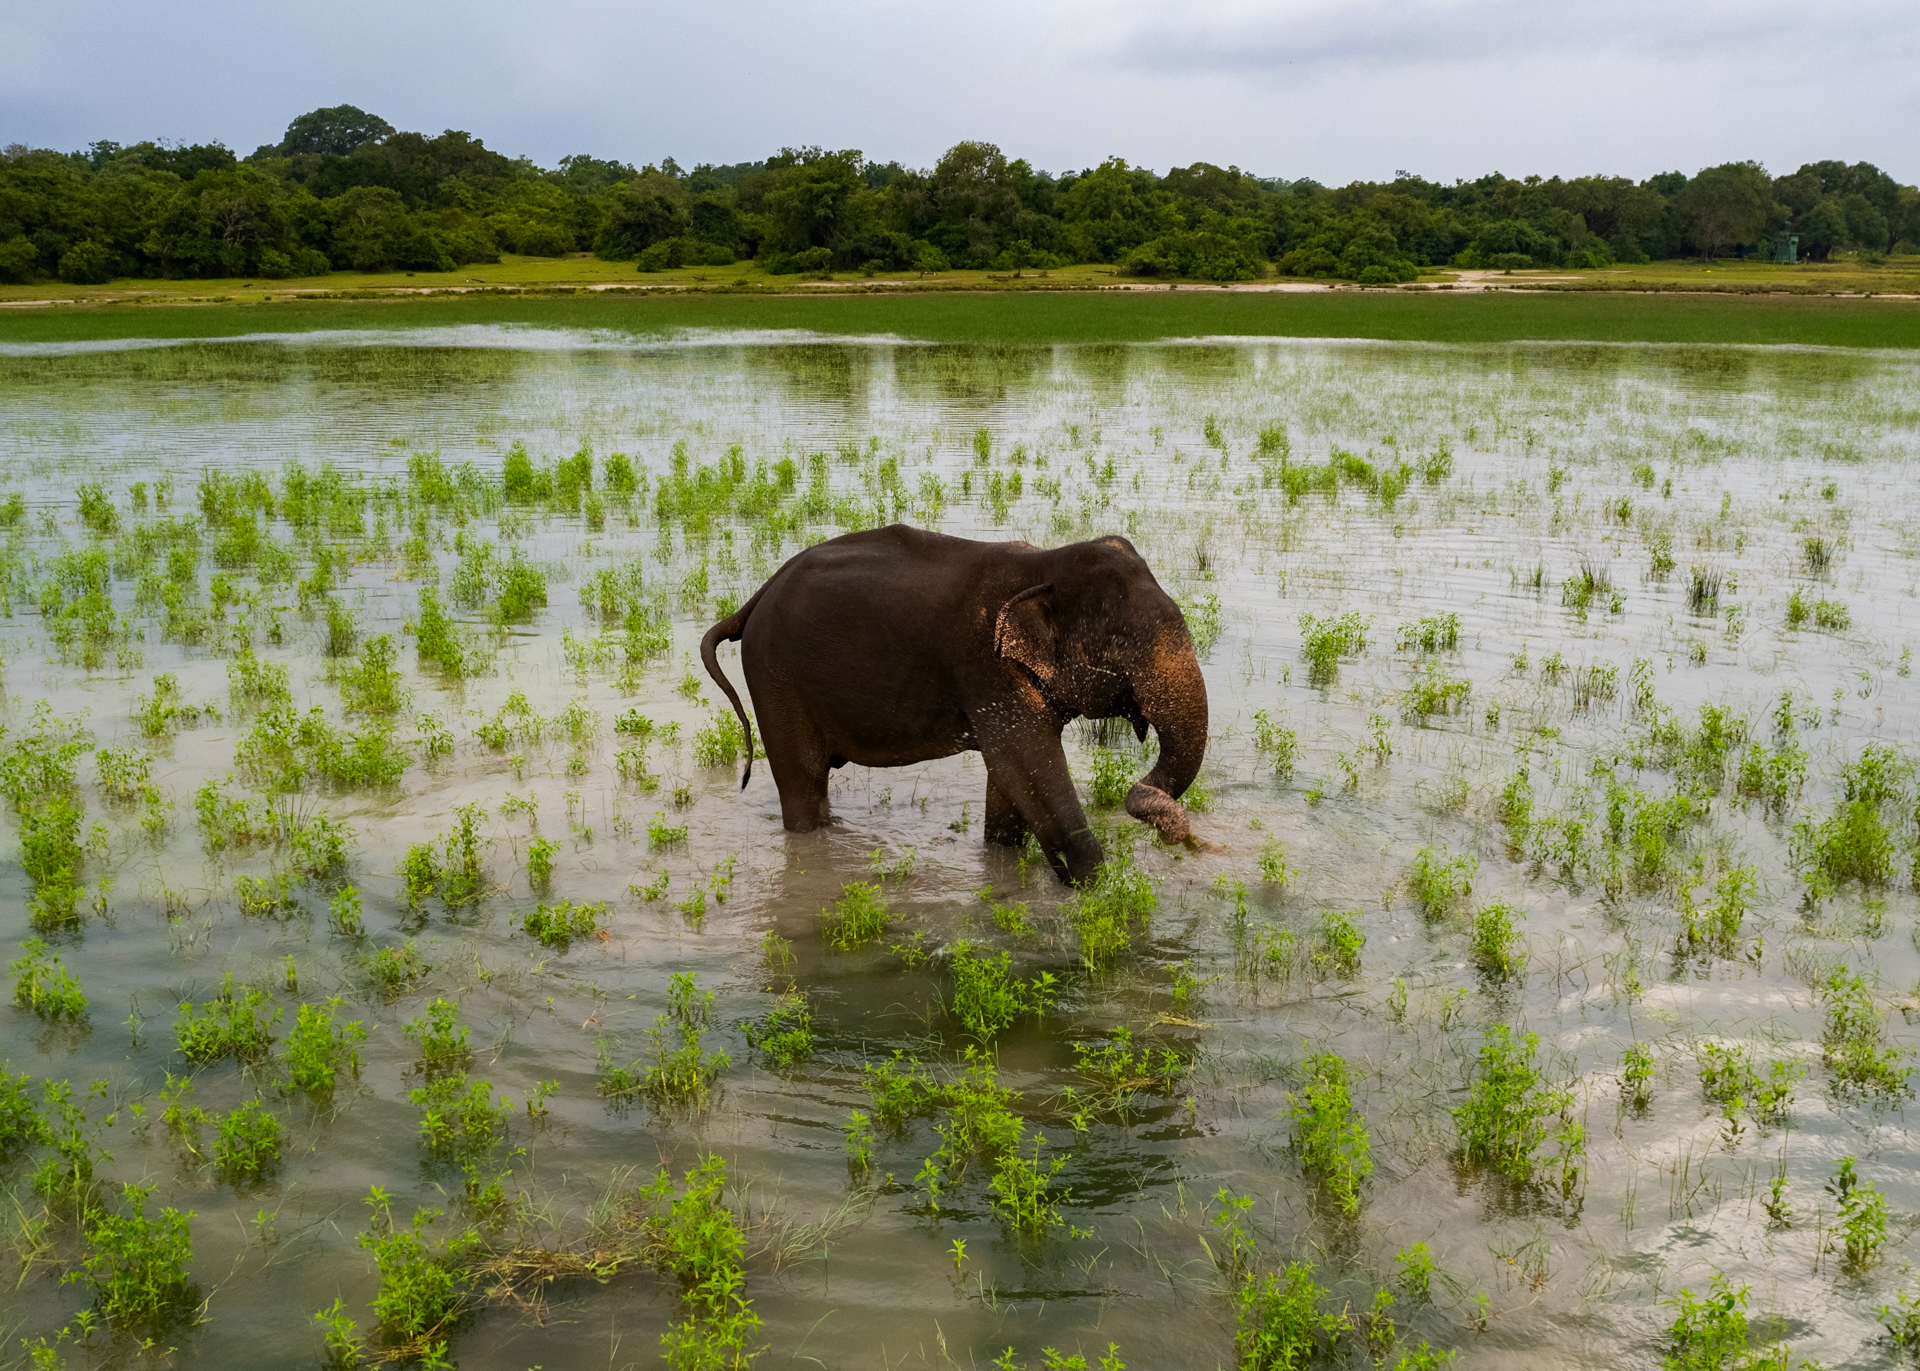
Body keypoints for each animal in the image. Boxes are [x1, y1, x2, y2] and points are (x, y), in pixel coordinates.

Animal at [699, 525, 1208, 885]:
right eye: (1121, 645)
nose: (1177, 834)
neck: (1044, 564)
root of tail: (755, 599)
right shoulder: (987, 671)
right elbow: (1026, 764)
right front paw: (1094, 889)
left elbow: (1010, 784)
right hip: (775, 677)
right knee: (803, 782)